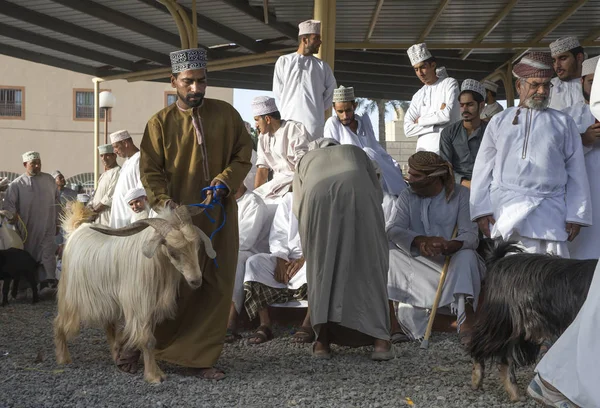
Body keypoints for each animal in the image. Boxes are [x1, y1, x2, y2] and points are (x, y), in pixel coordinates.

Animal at [52, 202, 214, 384]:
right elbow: (148, 340)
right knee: (59, 323)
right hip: (71, 297)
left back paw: (116, 354)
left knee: (109, 327)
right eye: (172, 251)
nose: (196, 281)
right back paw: (63, 358)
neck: (156, 264)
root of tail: (76, 230)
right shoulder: (139, 305)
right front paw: (153, 375)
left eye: (197, 246)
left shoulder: (150, 308)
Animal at [468, 239, 596, 402]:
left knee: (505, 357)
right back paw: (477, 379)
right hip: (504, 321)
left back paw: (514, 393)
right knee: (482, 343)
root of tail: (499, 261)